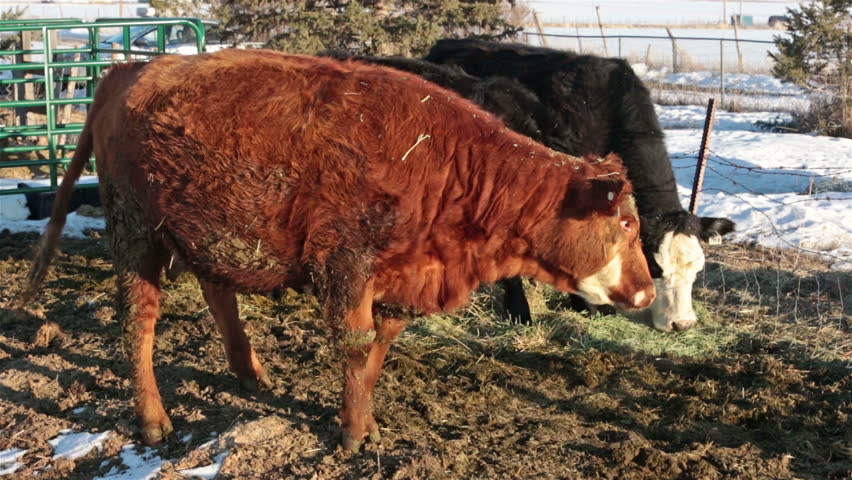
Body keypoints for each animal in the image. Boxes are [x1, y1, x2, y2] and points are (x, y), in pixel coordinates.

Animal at [21, 49, 655, 451]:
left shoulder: (402, 280)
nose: (648, 292)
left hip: (208, 229)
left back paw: (249, 371)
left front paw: (364, 419)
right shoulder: (345, 263)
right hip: (136, 231)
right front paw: (352, 433)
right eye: (625, 222)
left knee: (218, 293)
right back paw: (153, 419)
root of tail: (131, 69)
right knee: (140, 321)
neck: (449, 164)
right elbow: (354, 347)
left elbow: (377, 351)